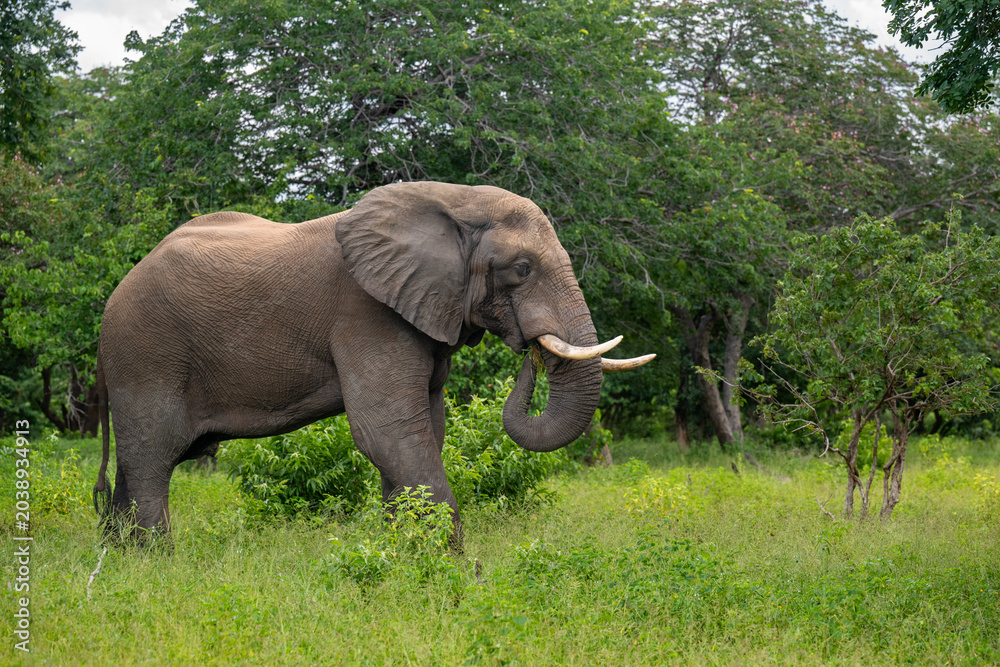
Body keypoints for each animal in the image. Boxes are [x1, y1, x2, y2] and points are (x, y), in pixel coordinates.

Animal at [92, 181, 653, 541]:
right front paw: (452, 570)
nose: (531, 350)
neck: (453, 201)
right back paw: (152, 564)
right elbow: (387, 430)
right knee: (152, 457)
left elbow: (423, 428)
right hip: (146, 354)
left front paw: (404, 558)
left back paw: (116, 557)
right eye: (521, 268)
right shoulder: (366, 314)